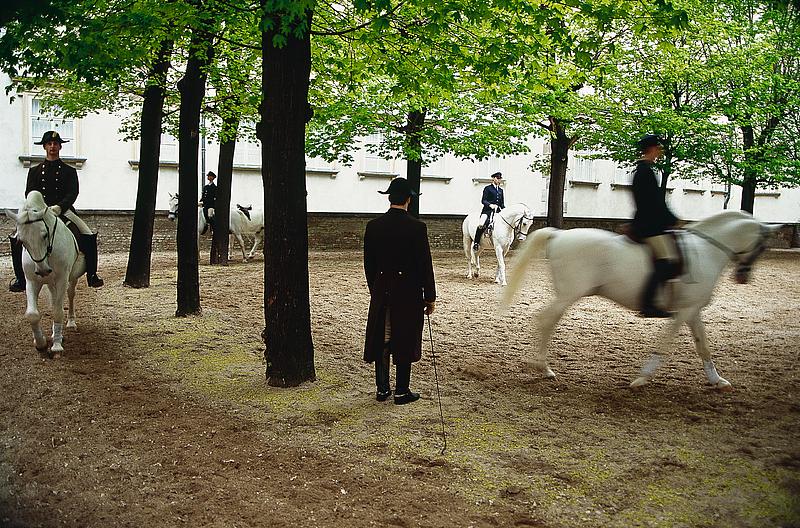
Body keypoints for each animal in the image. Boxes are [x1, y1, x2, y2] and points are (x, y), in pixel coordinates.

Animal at [4, 191, 87, 358]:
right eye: (21, 241)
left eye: (44, 235)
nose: (42, 270)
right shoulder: (32, 281)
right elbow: (32, 314)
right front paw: (41, 343)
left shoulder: (62, 279)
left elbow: (57, 311)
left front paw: (56, 346)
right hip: (50, 283)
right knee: (55, 299)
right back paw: (57, 334)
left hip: (71, 278)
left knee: (70, 295)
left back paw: (70, 323)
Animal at [504, 211, 780, 392]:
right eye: (763, 246)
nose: (743, 276)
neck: (707, 251)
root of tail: (559, 236)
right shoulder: (684, 311)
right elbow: (665, 343)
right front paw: (642, 378)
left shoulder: (692, 310)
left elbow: (703, 345)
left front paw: (717, 381)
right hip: (569, 294)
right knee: (546, 320)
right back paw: (543, 367)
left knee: (546, 320)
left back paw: (542, 366)